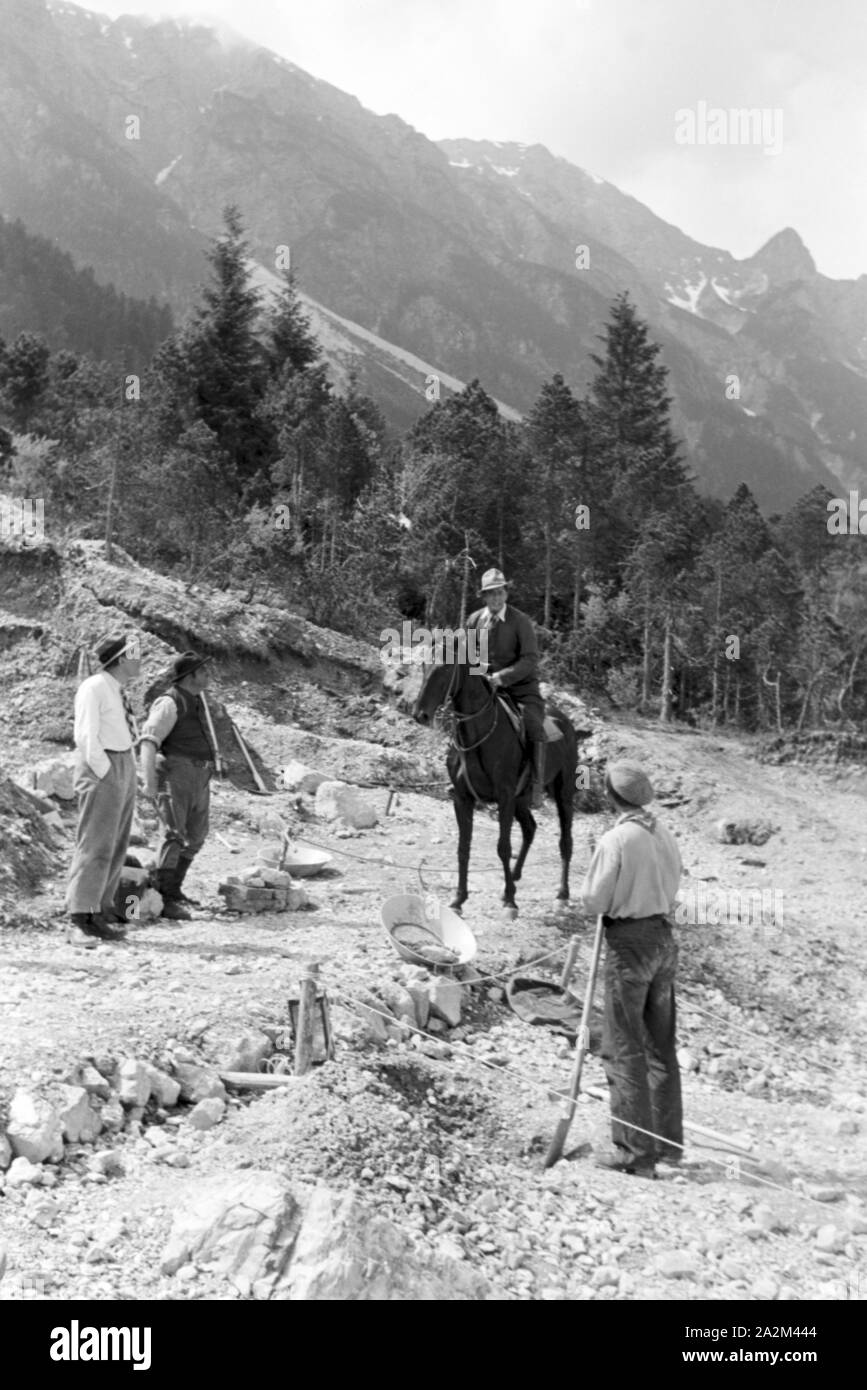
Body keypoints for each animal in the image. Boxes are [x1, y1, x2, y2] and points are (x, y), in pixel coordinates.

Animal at [411, 644, 575, 917]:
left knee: (565, 841)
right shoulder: (463, 798)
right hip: (522, 799)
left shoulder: (504, 797)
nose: (420, 715)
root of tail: (566, 723)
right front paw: (459, 899)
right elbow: (463, 848)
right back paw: (515, 877)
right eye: (424, 665)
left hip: (563, 794)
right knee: (530, 828)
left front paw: (510, 902)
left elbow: (503, 847)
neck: (479, 735)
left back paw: (561, 895)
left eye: (445, 667)